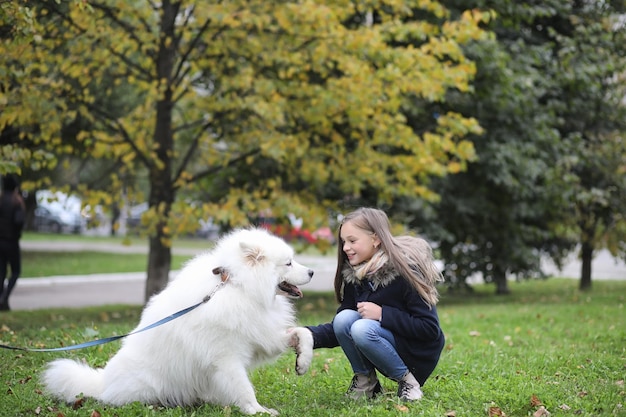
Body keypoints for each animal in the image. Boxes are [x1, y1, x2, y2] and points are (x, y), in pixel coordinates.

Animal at [41, 229, 312, 414]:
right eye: (288, 262)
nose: (312, 271)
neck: (237, 287)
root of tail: (103, 382)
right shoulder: (226, 358)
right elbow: (244, 388)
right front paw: (258, 411)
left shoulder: (259, 337)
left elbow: (302, 333)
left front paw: (303, 361)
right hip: (149, 385)